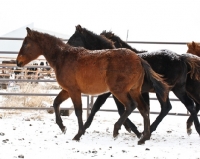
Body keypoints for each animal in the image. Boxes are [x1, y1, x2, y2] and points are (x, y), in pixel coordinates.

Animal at [16, 27, 169, 145]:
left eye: (26, 44)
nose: (18, 62)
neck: (63, 58)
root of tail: (138, 59)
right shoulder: (67, 90)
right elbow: (55, 103)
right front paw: (63, 127)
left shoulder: (74, 91)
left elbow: (79, 111)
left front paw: (78, 134)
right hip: (134, 91)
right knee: (143, 109)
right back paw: (143, 138)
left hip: (119, 91)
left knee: (130, 106)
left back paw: (117, 129)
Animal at [67, 24, 200, 138]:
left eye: (73, 39)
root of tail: (181, 58)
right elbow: (125, 109)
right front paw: (131, 129)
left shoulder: (110, 92)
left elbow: (98, 107)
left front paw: (84, 128)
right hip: (175, 90)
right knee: (180, 106)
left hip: (171, 90)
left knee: (176, 106)